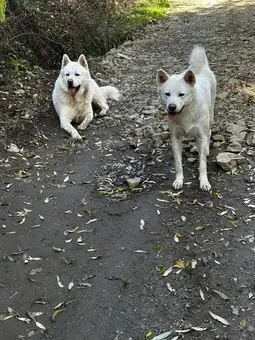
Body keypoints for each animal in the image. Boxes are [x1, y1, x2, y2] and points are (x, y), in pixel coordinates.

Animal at [156, 45, 216, 191]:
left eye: (181, 94)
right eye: (167, 94)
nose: (171, 107)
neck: (186, 113)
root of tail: (201, 70)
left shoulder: (201, 134)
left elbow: (202, 165)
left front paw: (204, 182)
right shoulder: (175, 138)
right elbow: (178, 164)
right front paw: (179, 180)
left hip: (210, 116)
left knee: (208, 133)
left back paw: (205, 149)